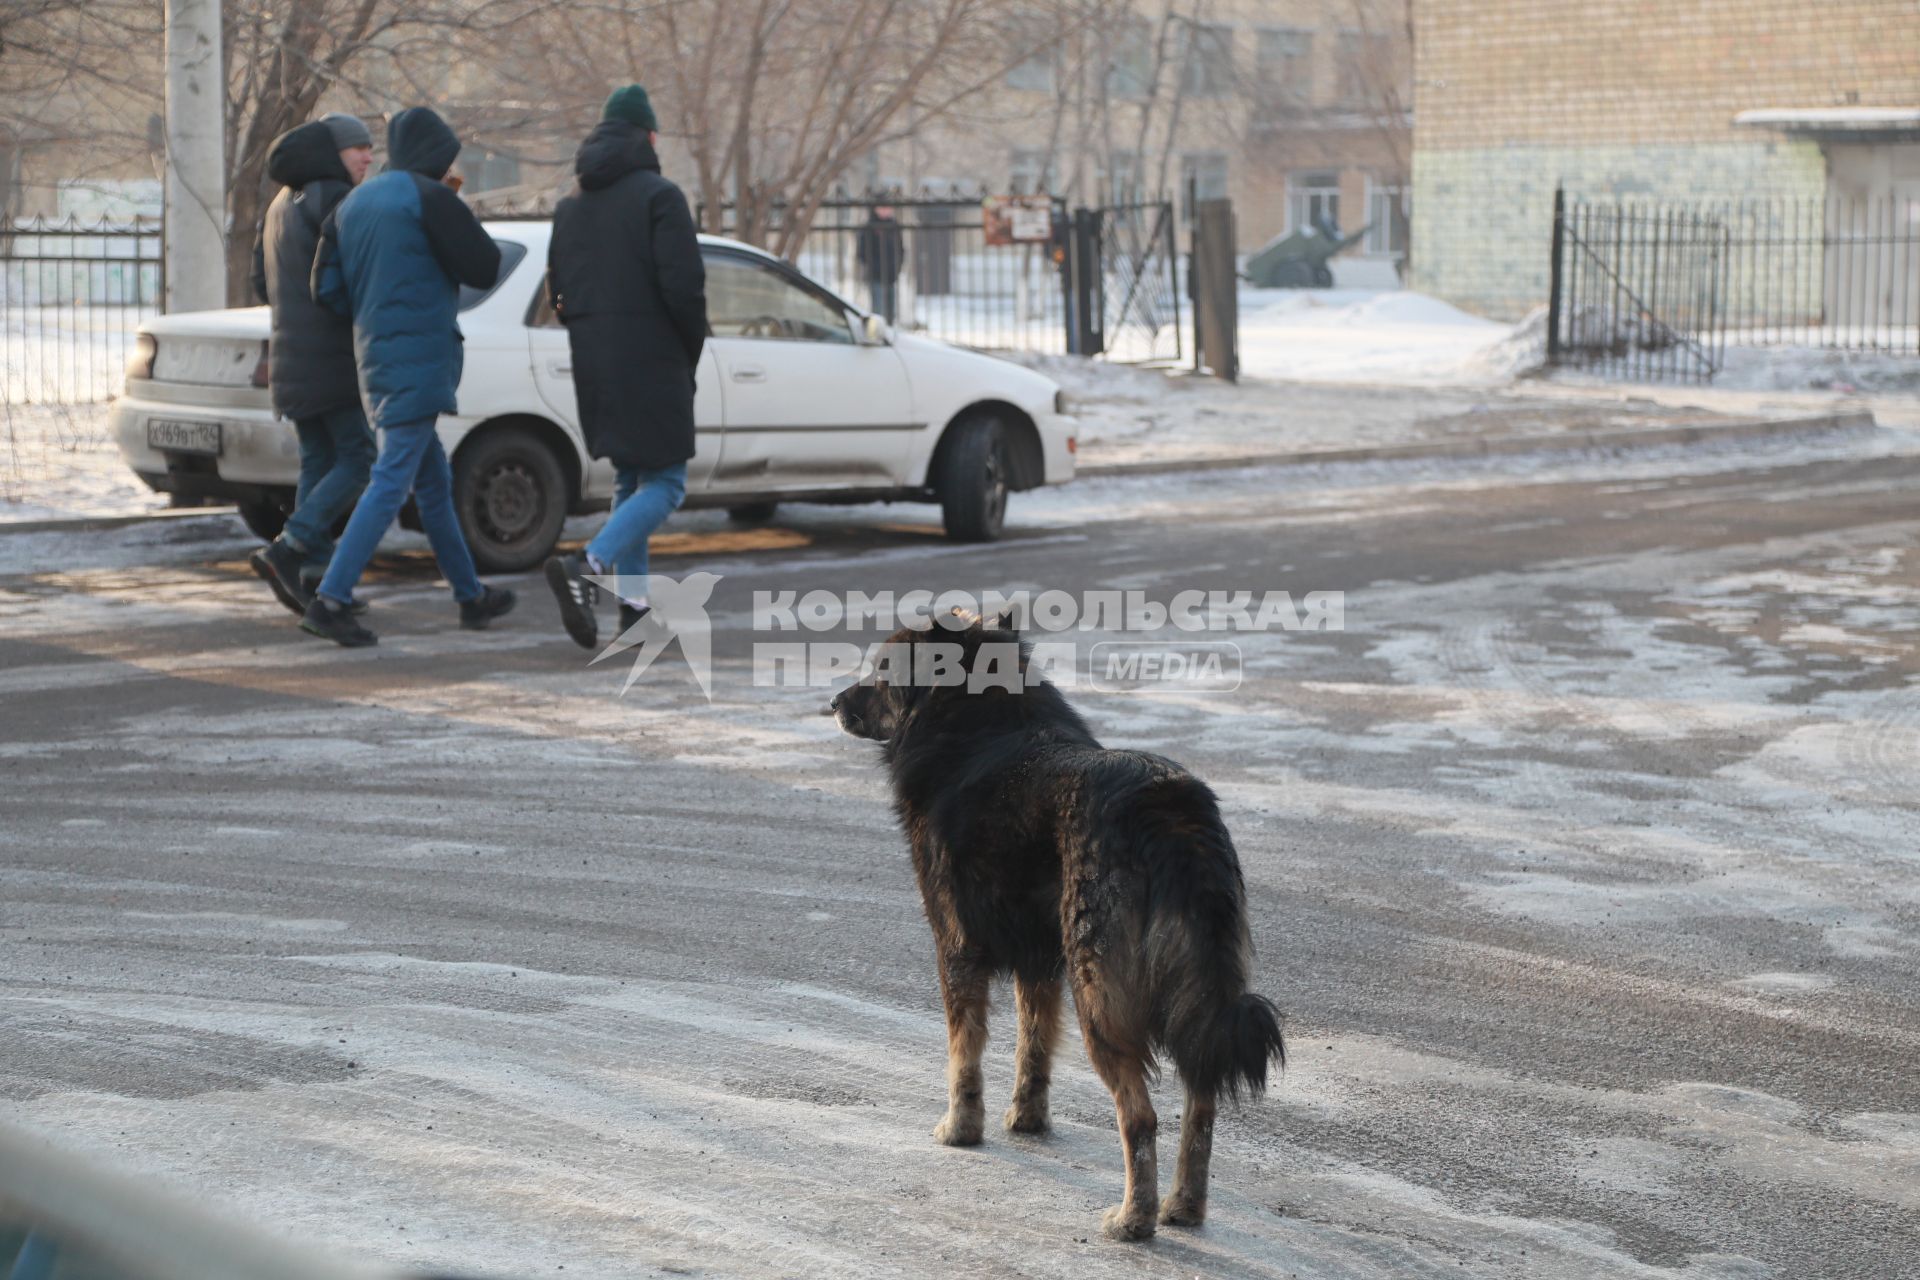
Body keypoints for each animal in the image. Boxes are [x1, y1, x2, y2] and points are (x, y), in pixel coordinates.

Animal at [829, 610, 1290, 1243]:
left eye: (880, 670)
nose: (832, 703)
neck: (977, 725)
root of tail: (1169, 805)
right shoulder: (1039, 963)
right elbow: (1035, 1045)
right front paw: (1026, 1118)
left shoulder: (956, 948)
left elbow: (964, 1053)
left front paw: (960, 1129)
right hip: (1192, 994)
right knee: (1201, 1104)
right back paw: (1183, 1208)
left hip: (1099, 995)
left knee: (1141, 1117)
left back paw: (1134, 1219)